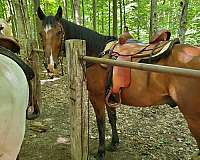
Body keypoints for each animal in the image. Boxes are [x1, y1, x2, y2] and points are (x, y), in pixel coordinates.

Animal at [38, 5, 200, 160]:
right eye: (40, 33)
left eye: (59, 32)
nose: (50, 64)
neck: (96, 53)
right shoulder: (109, 95)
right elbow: (112, 118)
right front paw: (114, 143)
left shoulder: (96, 97)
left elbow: (101, 122)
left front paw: (101, 151)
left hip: (193, 119)